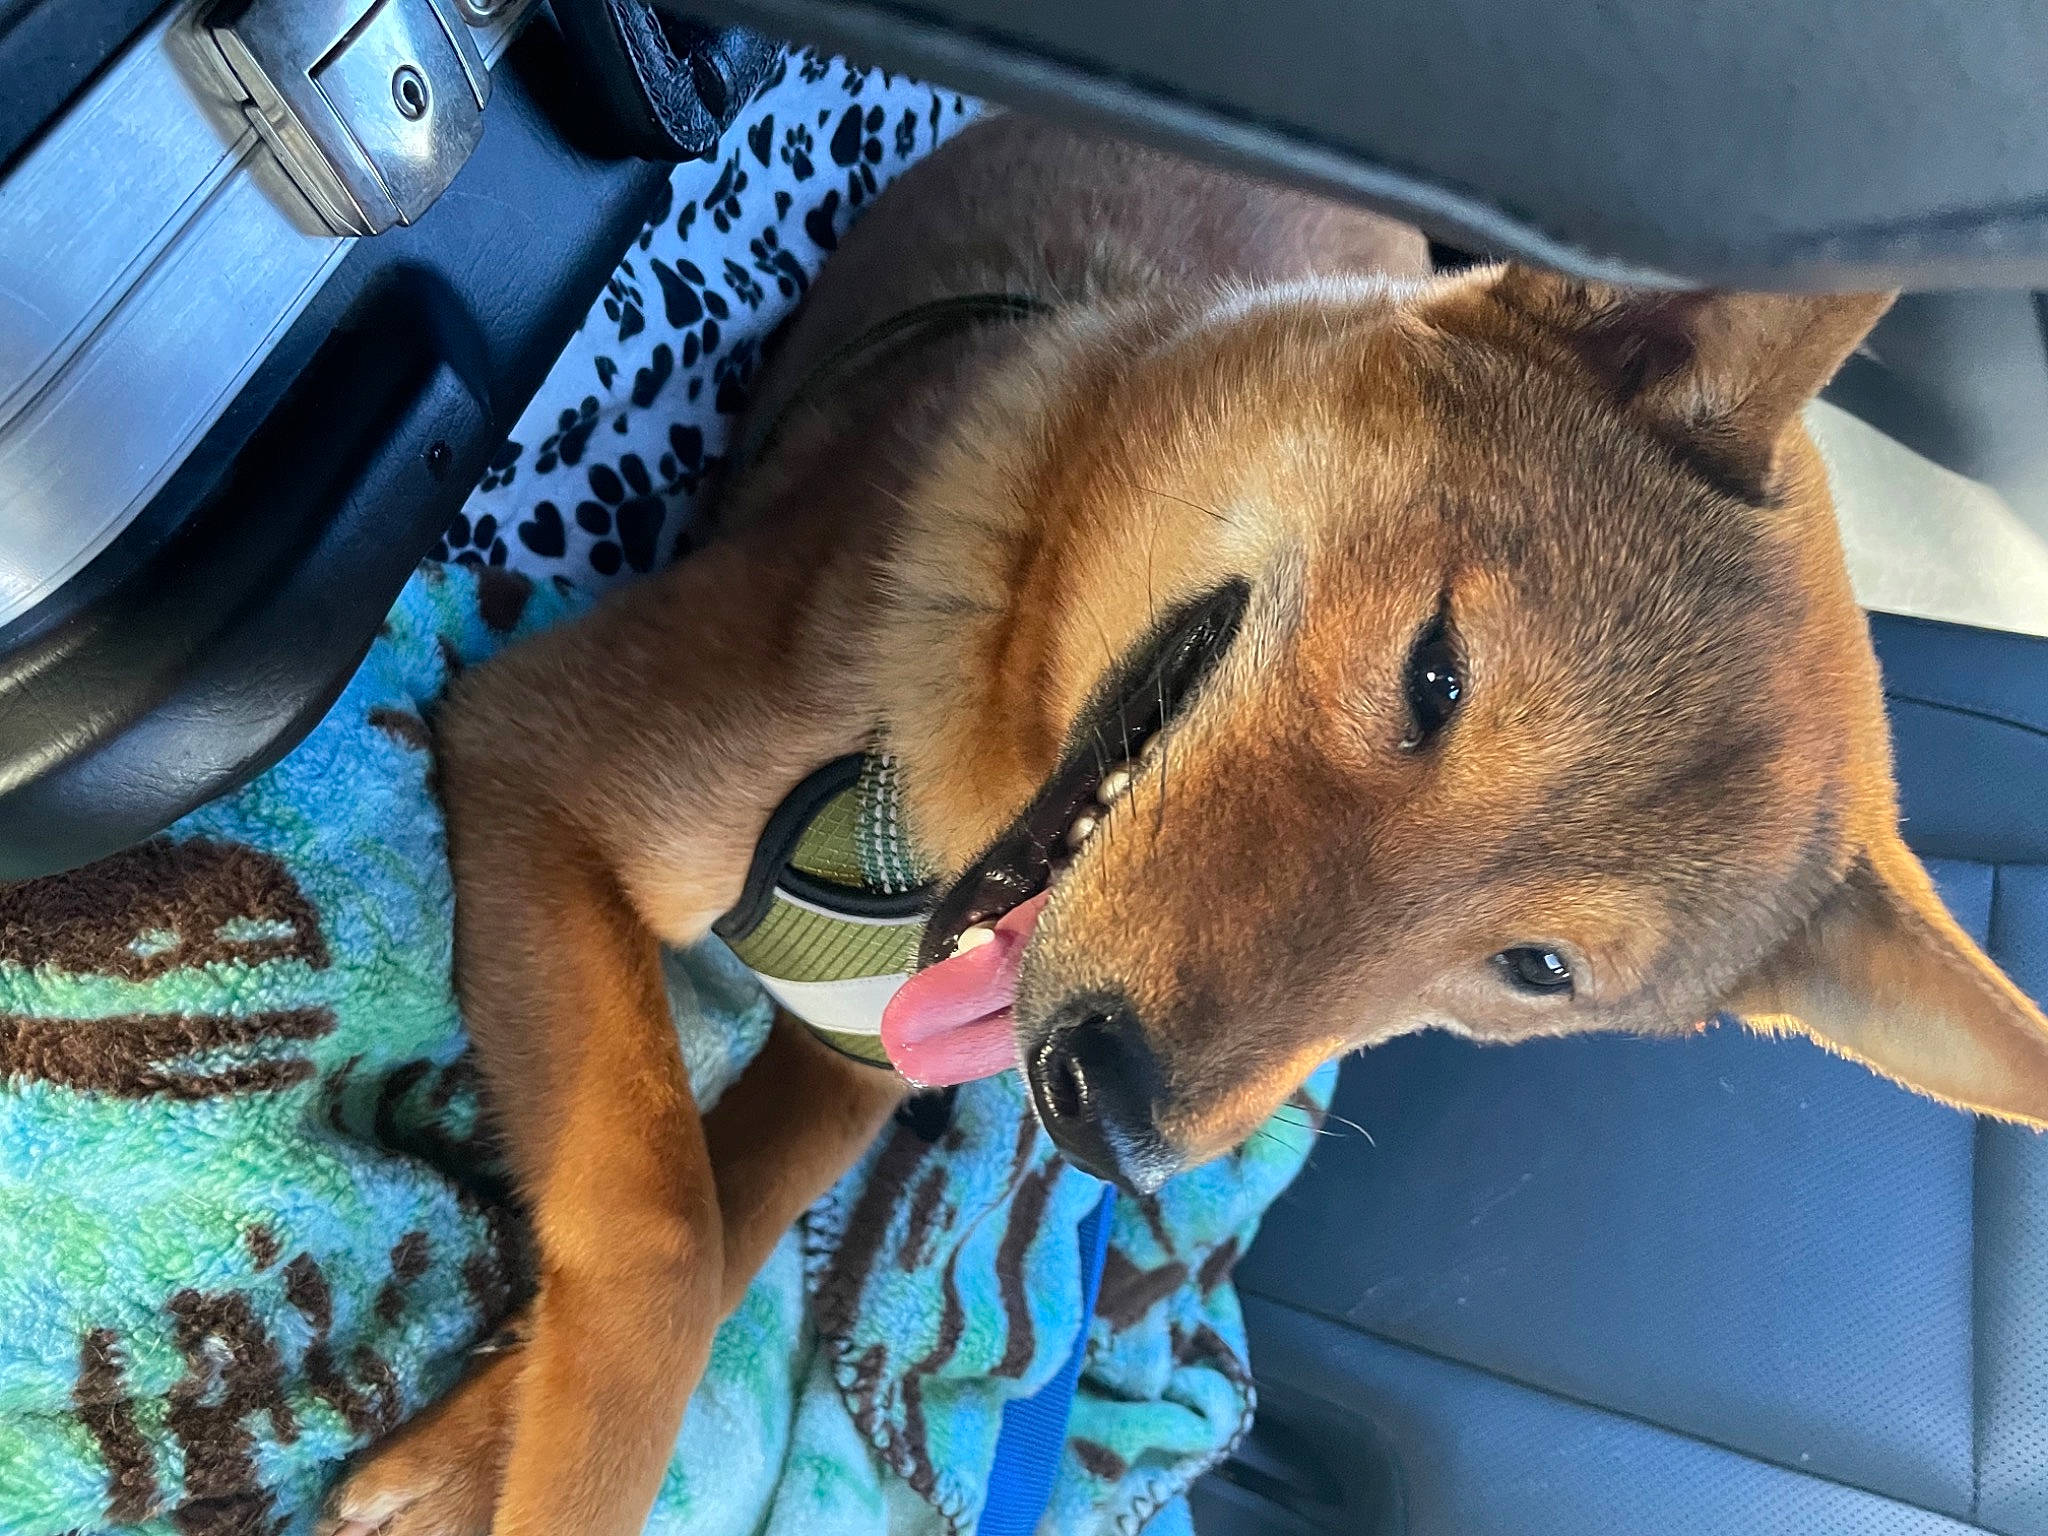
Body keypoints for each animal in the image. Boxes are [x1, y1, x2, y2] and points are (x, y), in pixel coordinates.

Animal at [327, 113, 2048, 1536]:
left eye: (1539, 974)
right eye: (1435, 674)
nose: (1106, 1112)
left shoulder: (850, 1062)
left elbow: (721, 1213)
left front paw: (484, 1432)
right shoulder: (537, 758)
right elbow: (665, 1228)